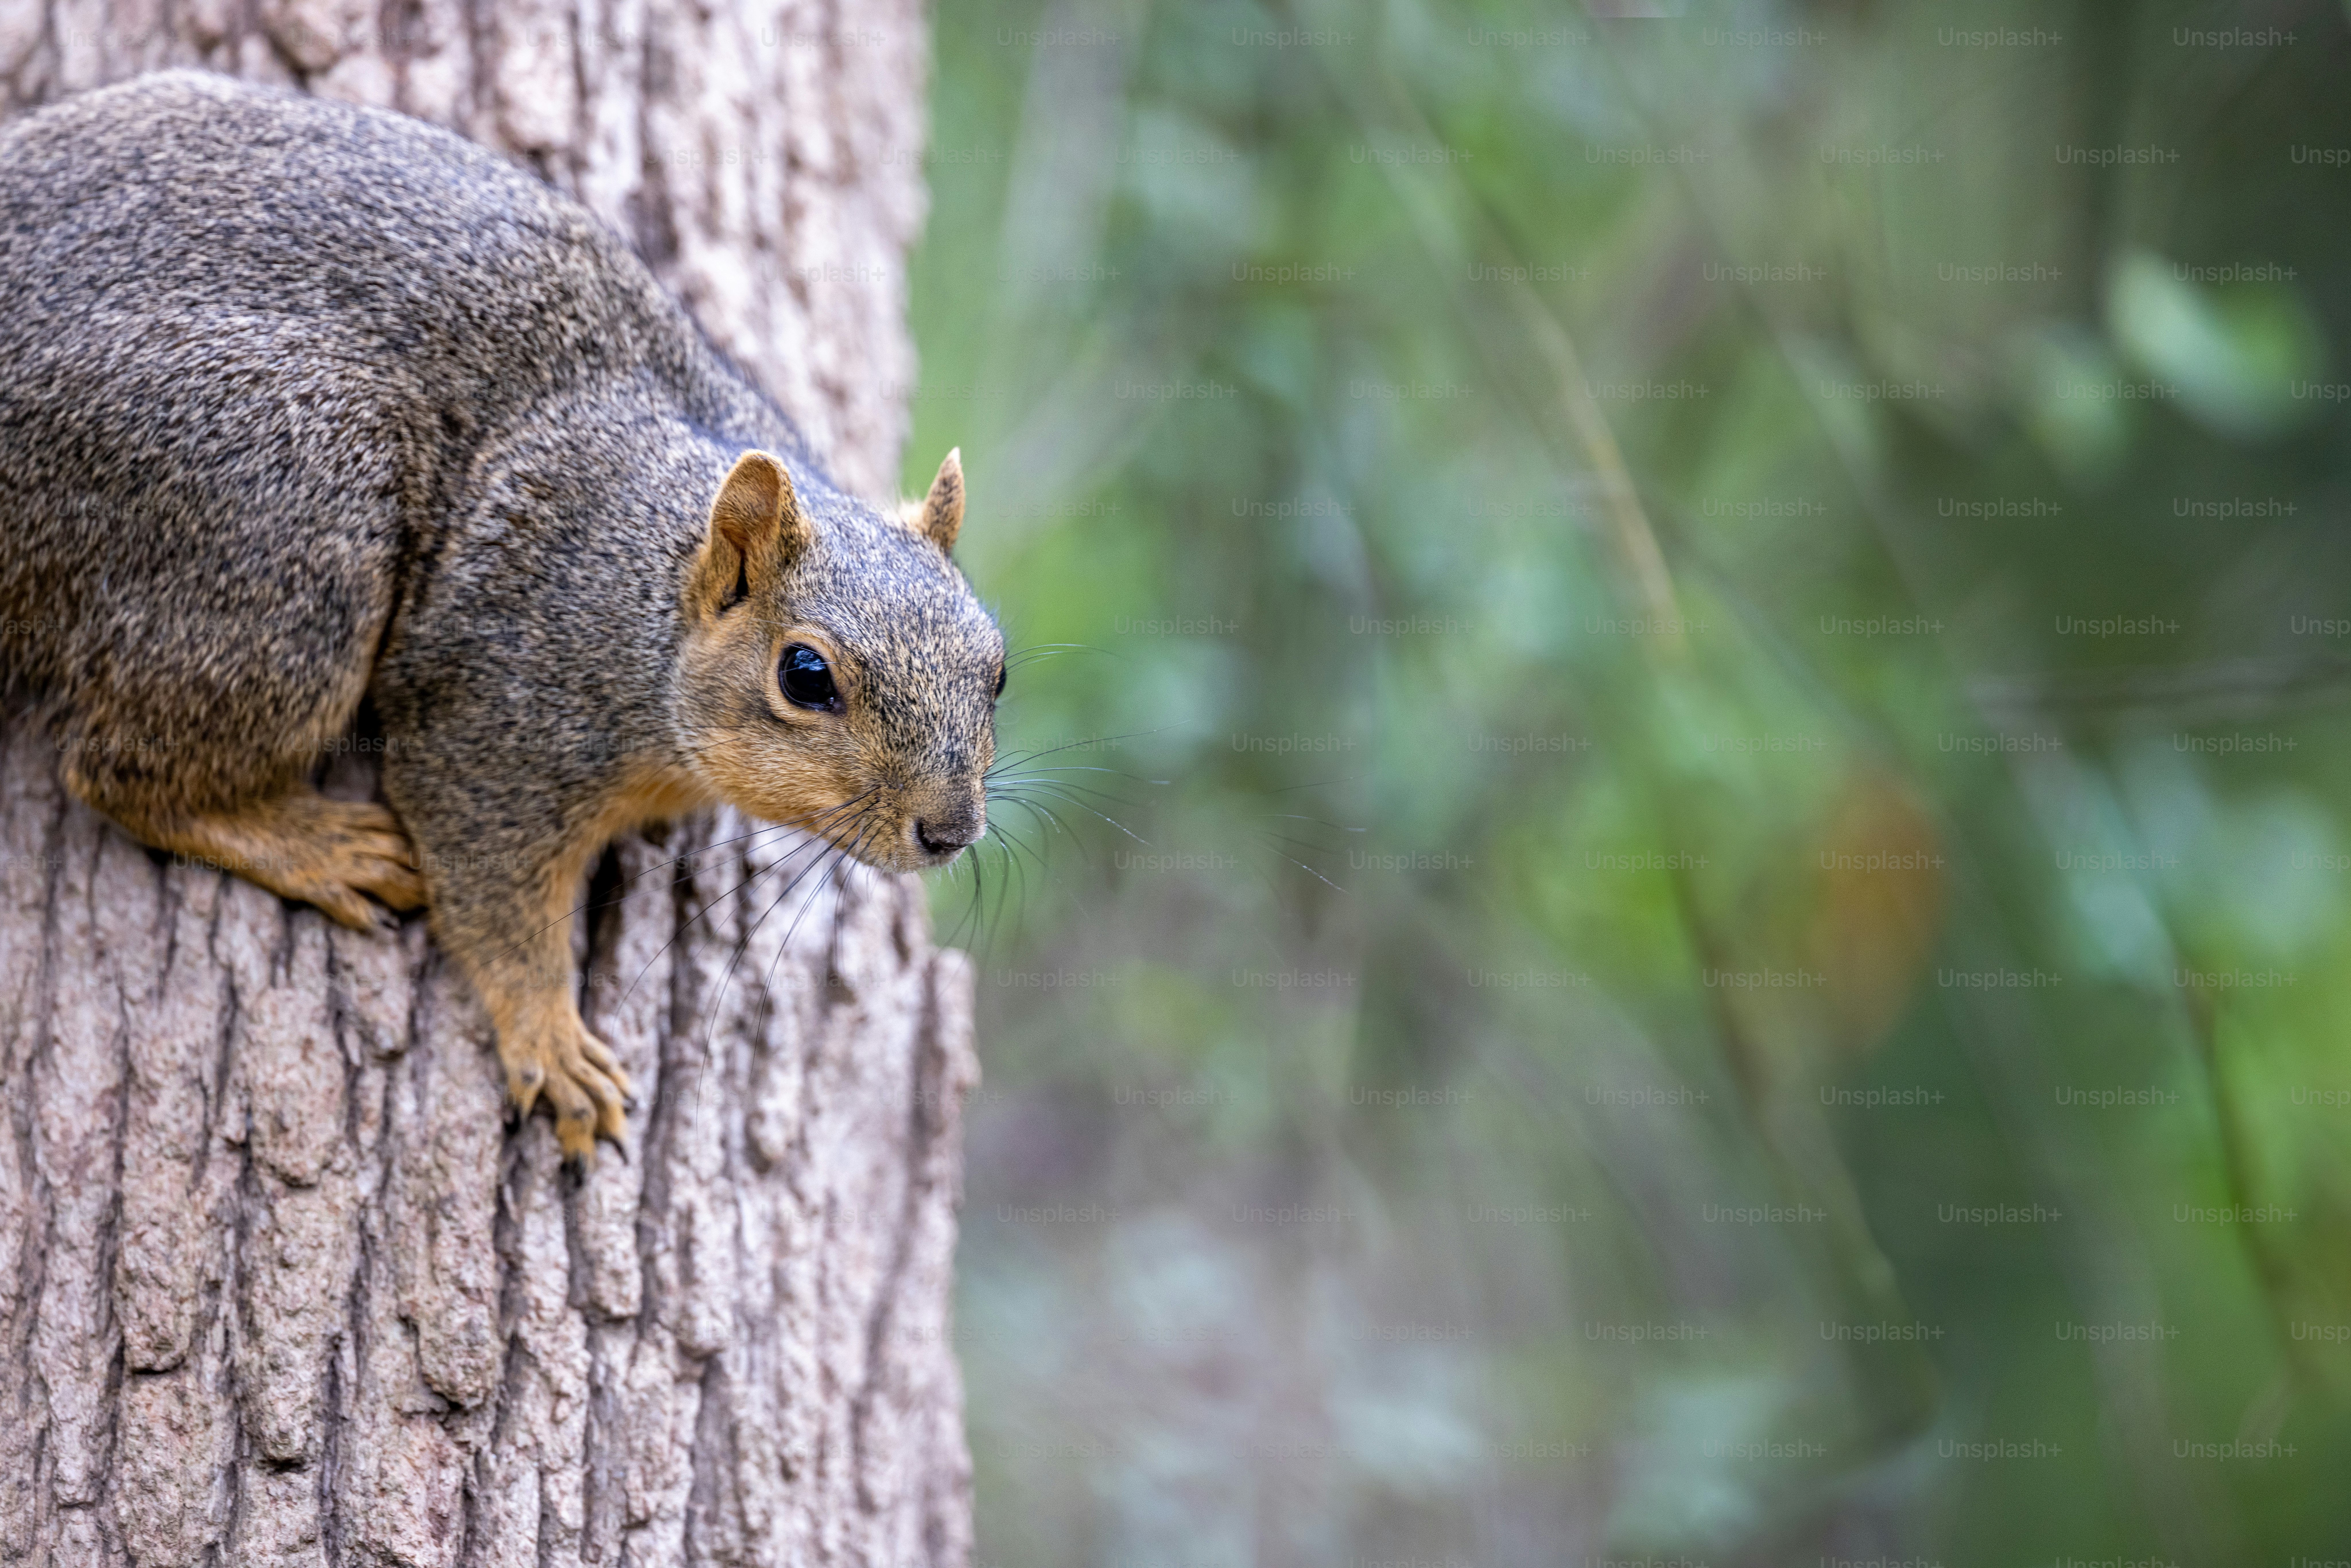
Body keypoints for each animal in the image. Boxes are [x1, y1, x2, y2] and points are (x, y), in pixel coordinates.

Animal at [0, 71, 1003, 1161]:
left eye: (997, 666)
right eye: (805, 676)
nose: (950, 831)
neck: (644, 594)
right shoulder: (496, 710)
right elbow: (490, 885)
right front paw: (553, 1043)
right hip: (285, 520)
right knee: (117, 773)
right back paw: (321, 849)